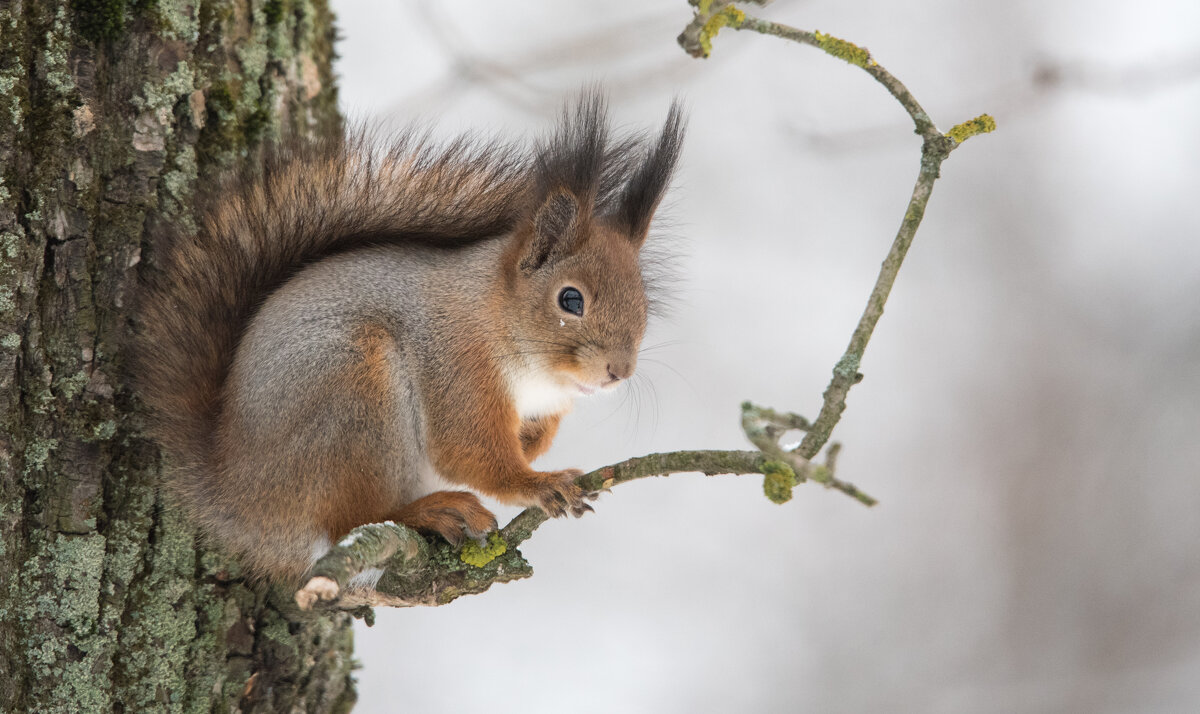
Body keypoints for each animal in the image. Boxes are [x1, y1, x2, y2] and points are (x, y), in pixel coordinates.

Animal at [138, 92, 686, 583]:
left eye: (643, 302)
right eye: (570, 300)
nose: (619, 371)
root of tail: (237, 495)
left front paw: (533, 444)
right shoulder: (455, 359)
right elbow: (469, 451)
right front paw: (537, 483)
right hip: (350, 394)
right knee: (351, 520)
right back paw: (431, 512)